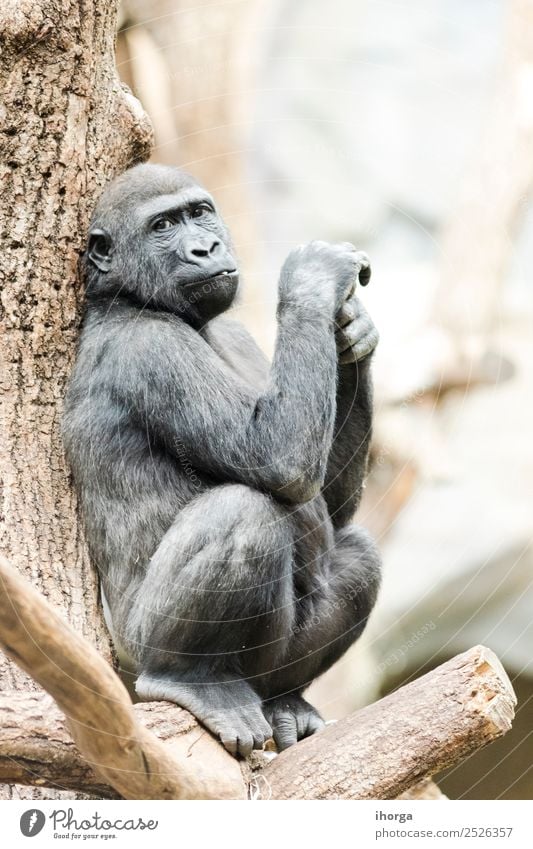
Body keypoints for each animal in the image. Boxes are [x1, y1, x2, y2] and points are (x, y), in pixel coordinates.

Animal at [63, 164, 382, 756]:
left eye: (199, 213)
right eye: (163, 226)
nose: (205, 247)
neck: (132, 297)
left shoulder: (233, 328)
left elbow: (326, 502)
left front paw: (352, 332)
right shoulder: (150, 349)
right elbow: (276, 458)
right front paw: (313, 280)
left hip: (263, 672)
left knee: (357, 556)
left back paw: (285, 700)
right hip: (130, 661)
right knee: (243, 513)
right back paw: (188, 678)